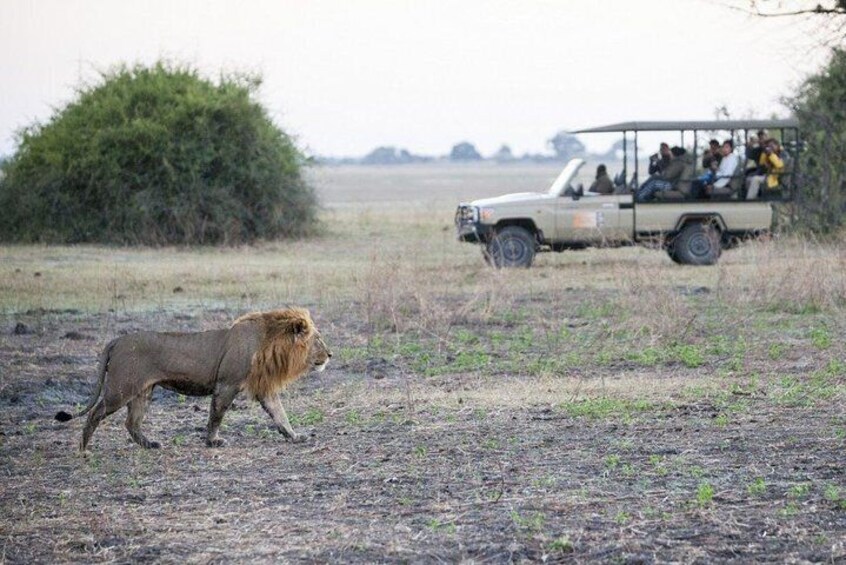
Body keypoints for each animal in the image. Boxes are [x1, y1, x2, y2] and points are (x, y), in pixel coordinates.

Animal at [54, 306, 332, 452]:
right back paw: (84, 449)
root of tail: (117, 340)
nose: (330, 354)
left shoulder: (263, 388)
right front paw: (213, 441)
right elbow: (216, 415)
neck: (270, 343)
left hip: (143, 392)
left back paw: (150, 445)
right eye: (318, 340)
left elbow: (280, 415)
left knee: (131, 423)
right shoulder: (227, 384)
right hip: (121, 389)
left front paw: (295, 437)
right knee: (95, 413)